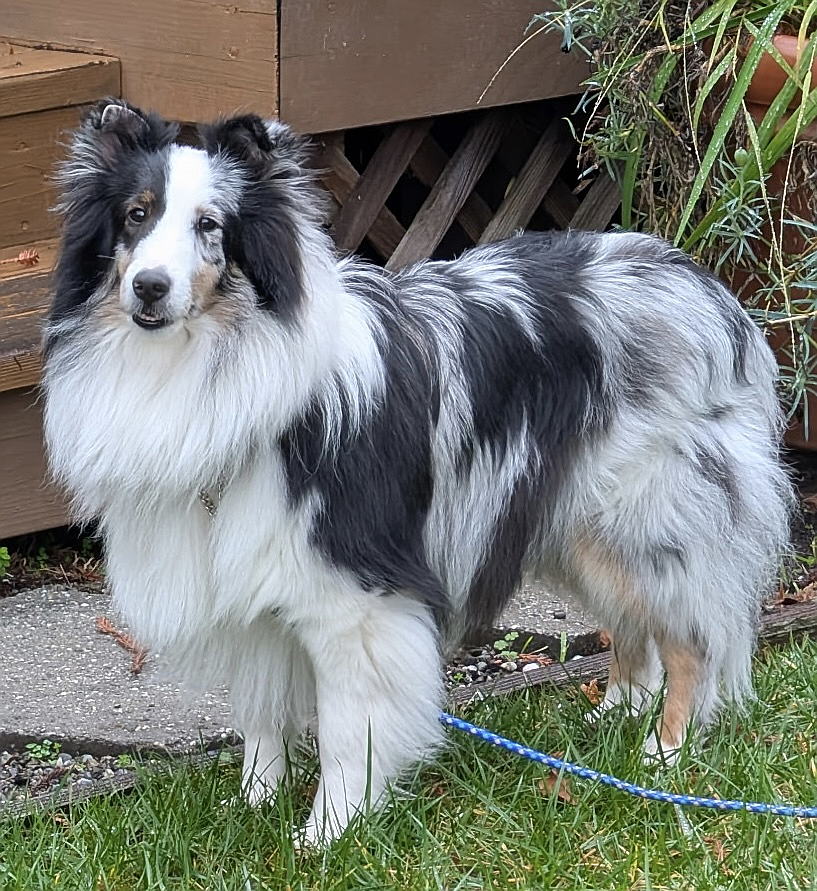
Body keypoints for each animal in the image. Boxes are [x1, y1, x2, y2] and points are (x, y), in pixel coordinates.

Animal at [42, 100, 792, 844]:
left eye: (209, 226)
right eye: (135, 214)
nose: (149, 288)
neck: (210, 358)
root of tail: (707, 291)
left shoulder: (356, 602)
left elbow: (349, 731)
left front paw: (327, 833)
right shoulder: (247, 582)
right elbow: (260, 711)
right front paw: (256, 802)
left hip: (640, 522)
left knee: (691, 639)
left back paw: (662, 755)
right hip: (571, 525)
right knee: (634, 630)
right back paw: (610, 721)